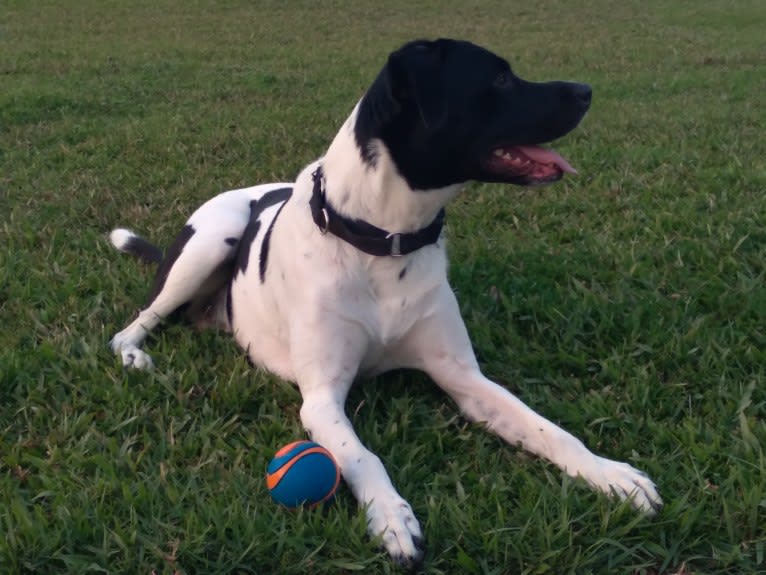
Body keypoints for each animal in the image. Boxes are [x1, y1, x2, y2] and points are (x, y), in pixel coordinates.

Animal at [109, 39, 664, 568]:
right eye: (501, 78)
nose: (586, 90)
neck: (384, 239)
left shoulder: (463, 377)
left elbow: (547, 428)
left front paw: (611, 475)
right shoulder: (321, 398)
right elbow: (362, 457)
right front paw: (392, 517)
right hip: (212, 238)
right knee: (135, 322)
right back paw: (135, 354)